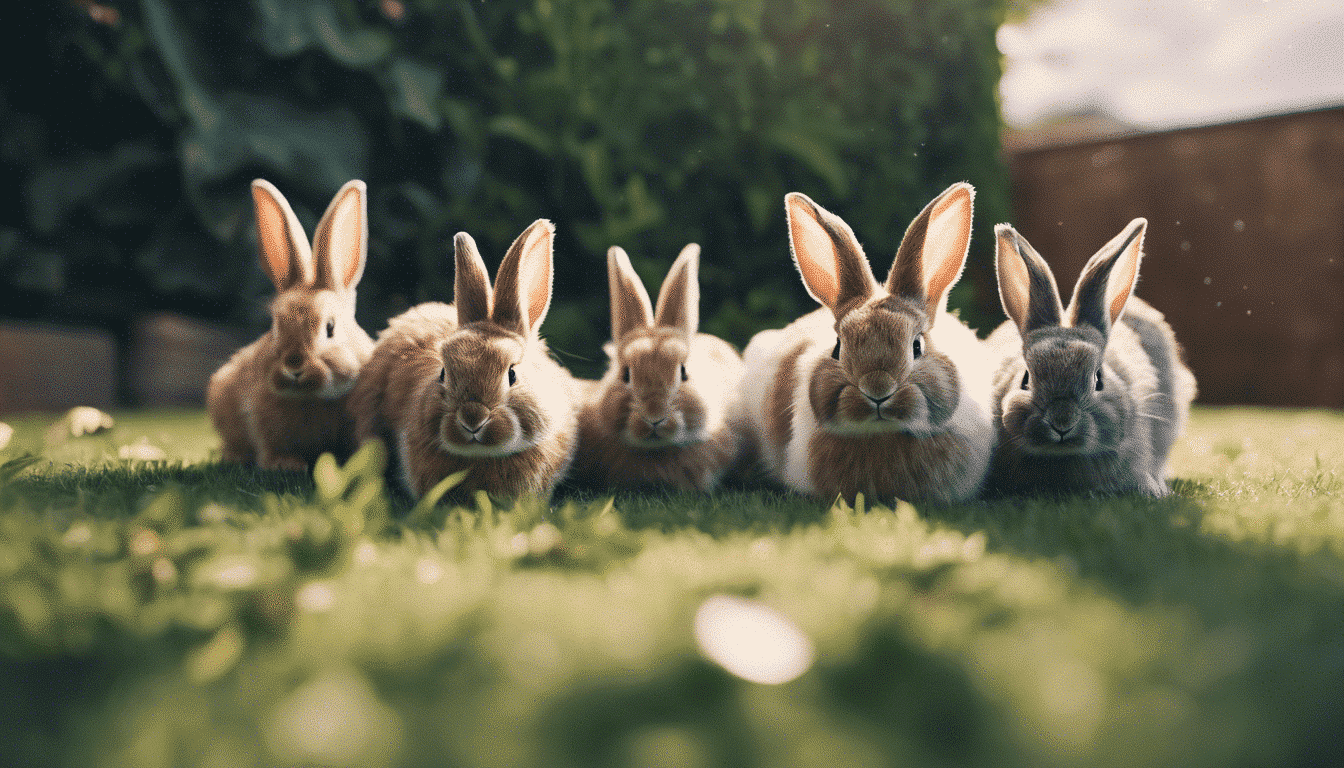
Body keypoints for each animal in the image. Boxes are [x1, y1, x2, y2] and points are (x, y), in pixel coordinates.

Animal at [209, 177, 379, 470]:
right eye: (276, 326)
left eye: (330, 328)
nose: (294, 366)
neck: (311, 399)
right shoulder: (264, 423)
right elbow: (271, 448)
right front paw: (285, 464)